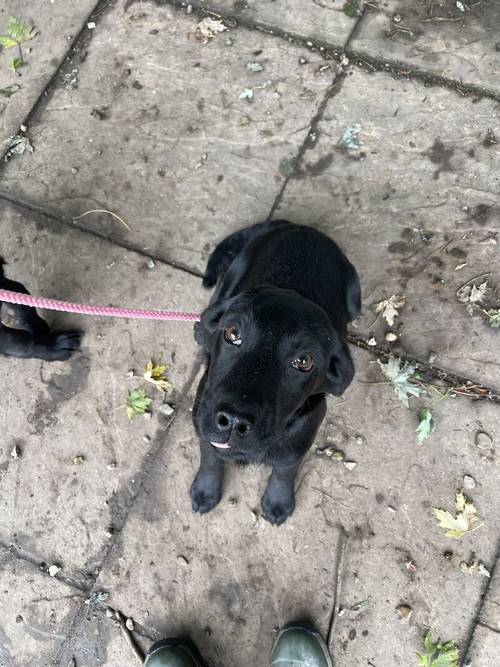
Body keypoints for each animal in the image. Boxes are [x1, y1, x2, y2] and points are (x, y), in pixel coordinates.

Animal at [190, 222, 360, 524]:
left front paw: (279, 502)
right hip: (232, 275)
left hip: (355, 296)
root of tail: (297, 226)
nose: (233, 421)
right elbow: (210, 457)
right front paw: (204, 491)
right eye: (232, 333)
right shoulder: (203, 420)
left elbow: (285, 469)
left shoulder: (300, 439)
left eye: (303, 361)